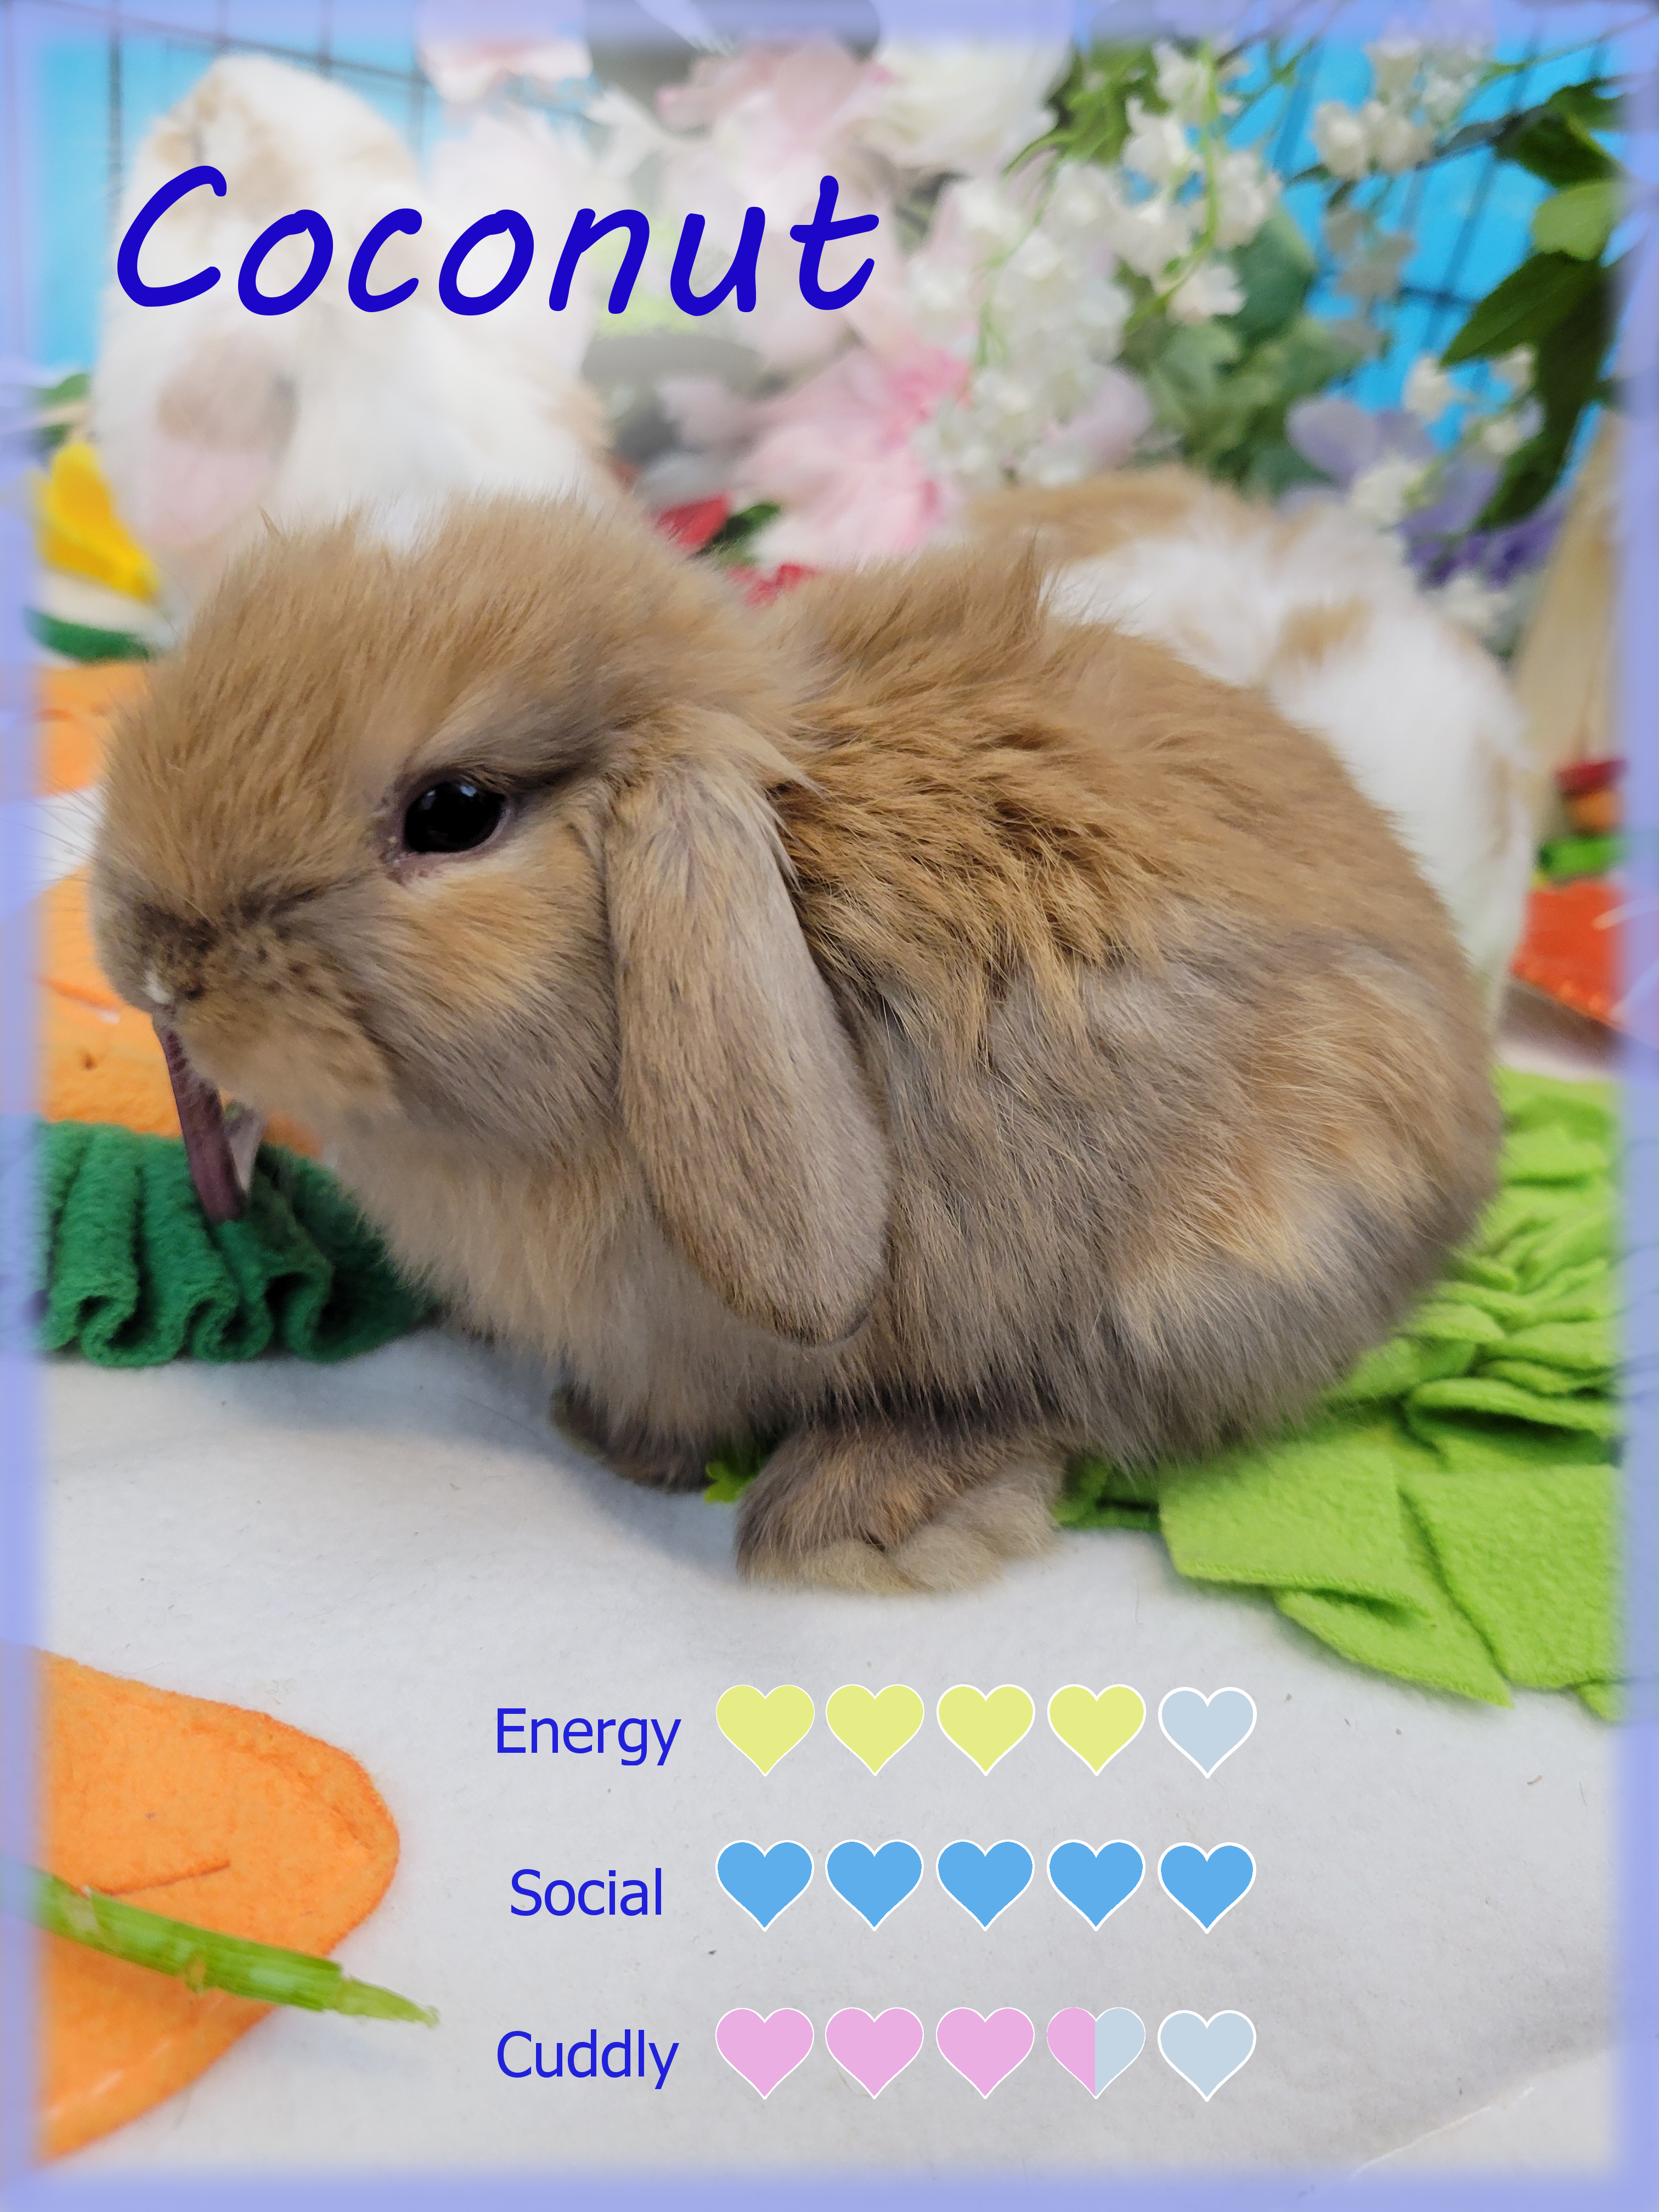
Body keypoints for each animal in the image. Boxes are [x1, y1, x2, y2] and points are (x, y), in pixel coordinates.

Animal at [89, 493, 1500, 1593]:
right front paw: (605, 1429)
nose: (155, 964)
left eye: (454, 814)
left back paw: (855, 1514)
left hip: (1197, 1276)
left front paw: (632, 1446)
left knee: (1080, 1402)